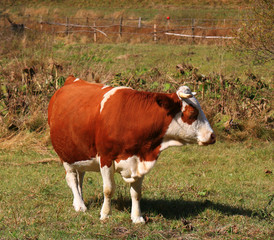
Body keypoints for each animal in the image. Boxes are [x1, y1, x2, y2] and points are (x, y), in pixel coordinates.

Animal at [48, 75, 216, 223]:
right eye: (192, 113)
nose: (212, 135)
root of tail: (71, 80)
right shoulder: (105, 158)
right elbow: (108, 189)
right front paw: (105, 214)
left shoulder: (139, 159)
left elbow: (136, 193)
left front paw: (137, 217)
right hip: (64, 154)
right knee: (72, 177)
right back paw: (79, 204)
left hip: (79, 152)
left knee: (80, 176)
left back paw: (80, 199)